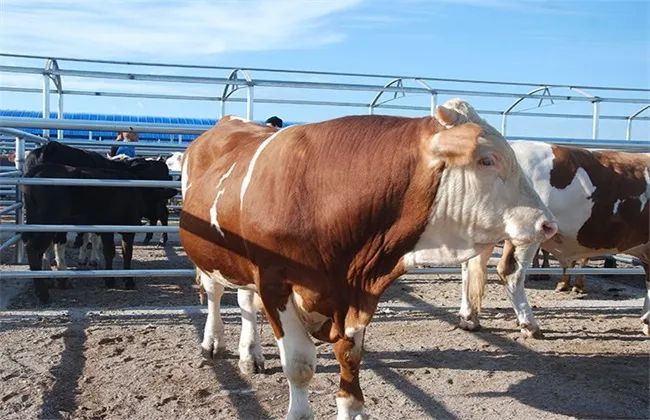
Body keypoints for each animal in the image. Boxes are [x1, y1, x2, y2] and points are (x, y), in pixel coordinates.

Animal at [180, 100, 556, 418]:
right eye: (487, 159)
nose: (547, 223)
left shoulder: (356, 295)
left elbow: (350, 356)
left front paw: (352, 407)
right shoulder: (275, 282)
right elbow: (300, 365)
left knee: (245, 298)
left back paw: (251, 354)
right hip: (210, 257)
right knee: (215, 293)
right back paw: (213, 342)